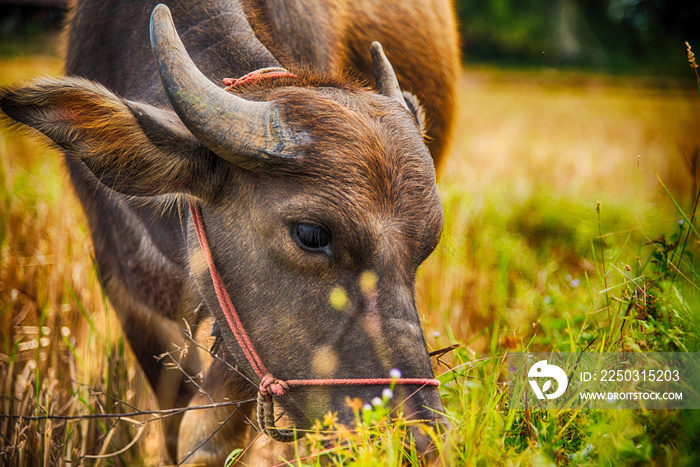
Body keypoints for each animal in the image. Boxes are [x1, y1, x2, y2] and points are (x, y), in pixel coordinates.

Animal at [0, 0, 460, 464]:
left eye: (425, 246)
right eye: (311, 234)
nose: (418, 441)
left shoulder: (244, 340)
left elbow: (204, 437)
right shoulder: (125, 290)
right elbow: (175, 427)